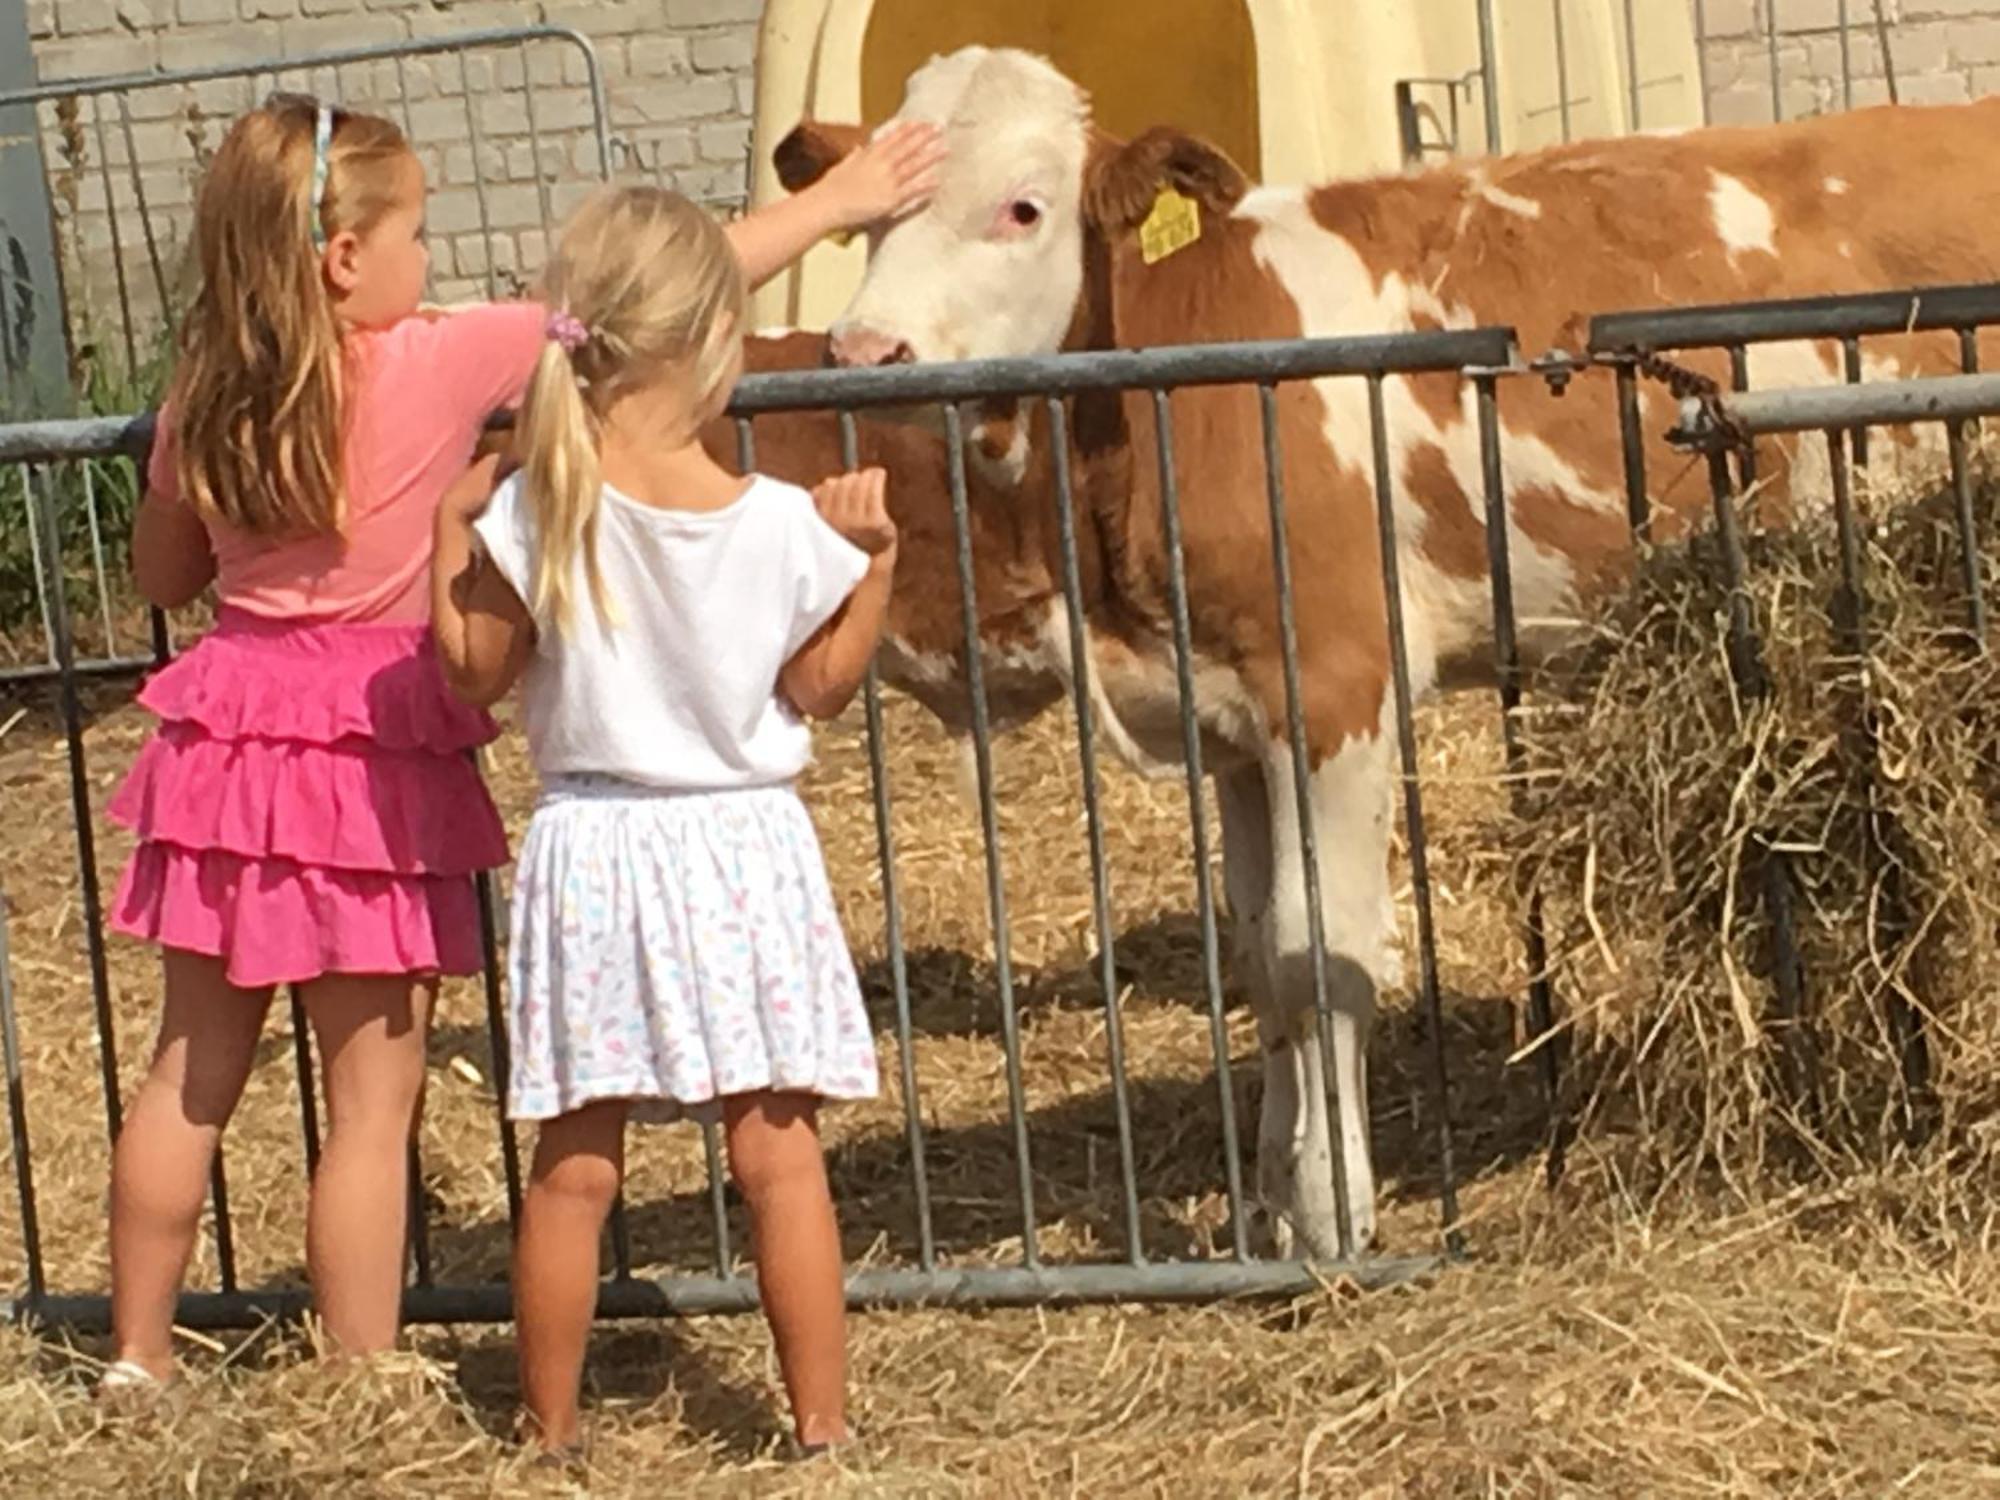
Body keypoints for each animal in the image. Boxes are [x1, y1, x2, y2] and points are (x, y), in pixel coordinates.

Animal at [760, 44, 2000, 1256]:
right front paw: (1267, 1196)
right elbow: (1259, 953)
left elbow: (1323, 952)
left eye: (1021, 207)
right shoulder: (1228, 716)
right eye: (871, 207)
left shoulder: (1334, 684)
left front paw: (1331, 1211)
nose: (865, 347)